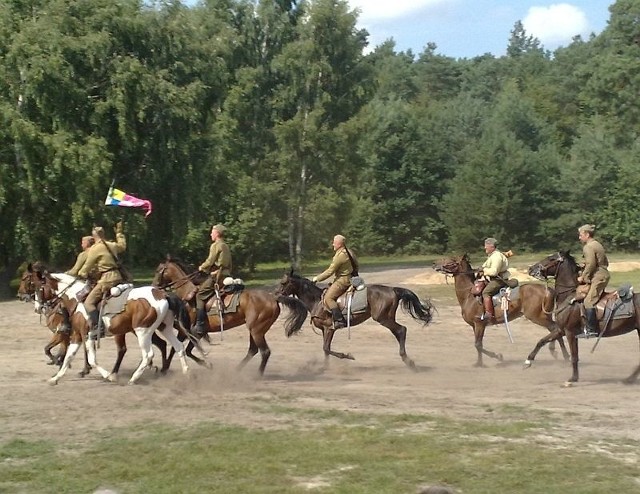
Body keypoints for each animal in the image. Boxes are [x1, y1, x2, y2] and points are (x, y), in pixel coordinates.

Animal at [152, 258, 308, 374]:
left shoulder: (188, 332)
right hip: (255, 330)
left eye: (159, 271)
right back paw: (237, 370)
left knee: (264, 352)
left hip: (256, 330)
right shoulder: (193, 333)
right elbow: (183, 349)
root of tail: (274, 298)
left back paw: (257, 375)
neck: (187, 295)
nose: (154, 286)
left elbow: (182, 349)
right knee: (253, 350)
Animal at [276, 270, 436, 366]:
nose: (277, 293)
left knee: (402, 330)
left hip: (383, 318)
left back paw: (408, 360)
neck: (317, 301)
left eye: (284, 282)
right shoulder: (324, 330)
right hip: (387, 318)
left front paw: (347, 356)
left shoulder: (329, 329)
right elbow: (326, 351)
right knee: (399, 332)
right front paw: (326, 368)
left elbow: (326, 348)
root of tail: (393, 289)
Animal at [432, 255, 568, 366]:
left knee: (556, 329)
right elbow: (478, 345)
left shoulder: (479, 324)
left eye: (451, 260)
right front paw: (479, 363)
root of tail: (548, 289)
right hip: (545, 316)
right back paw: (561, 355)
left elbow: (478, 345)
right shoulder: (474, 326)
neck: (469, 295)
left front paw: (498, 356)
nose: (434, 264)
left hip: (537, 317)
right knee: (555, 331)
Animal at [528, 251, 640, 386]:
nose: (531, 269)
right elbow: (542, 341)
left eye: (551, 258)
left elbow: (574, 356)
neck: (569, 297)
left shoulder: (570, 332)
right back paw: (629, 379)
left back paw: (629, 379)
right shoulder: (561, 330)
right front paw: (528, 361)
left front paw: (573, 378)